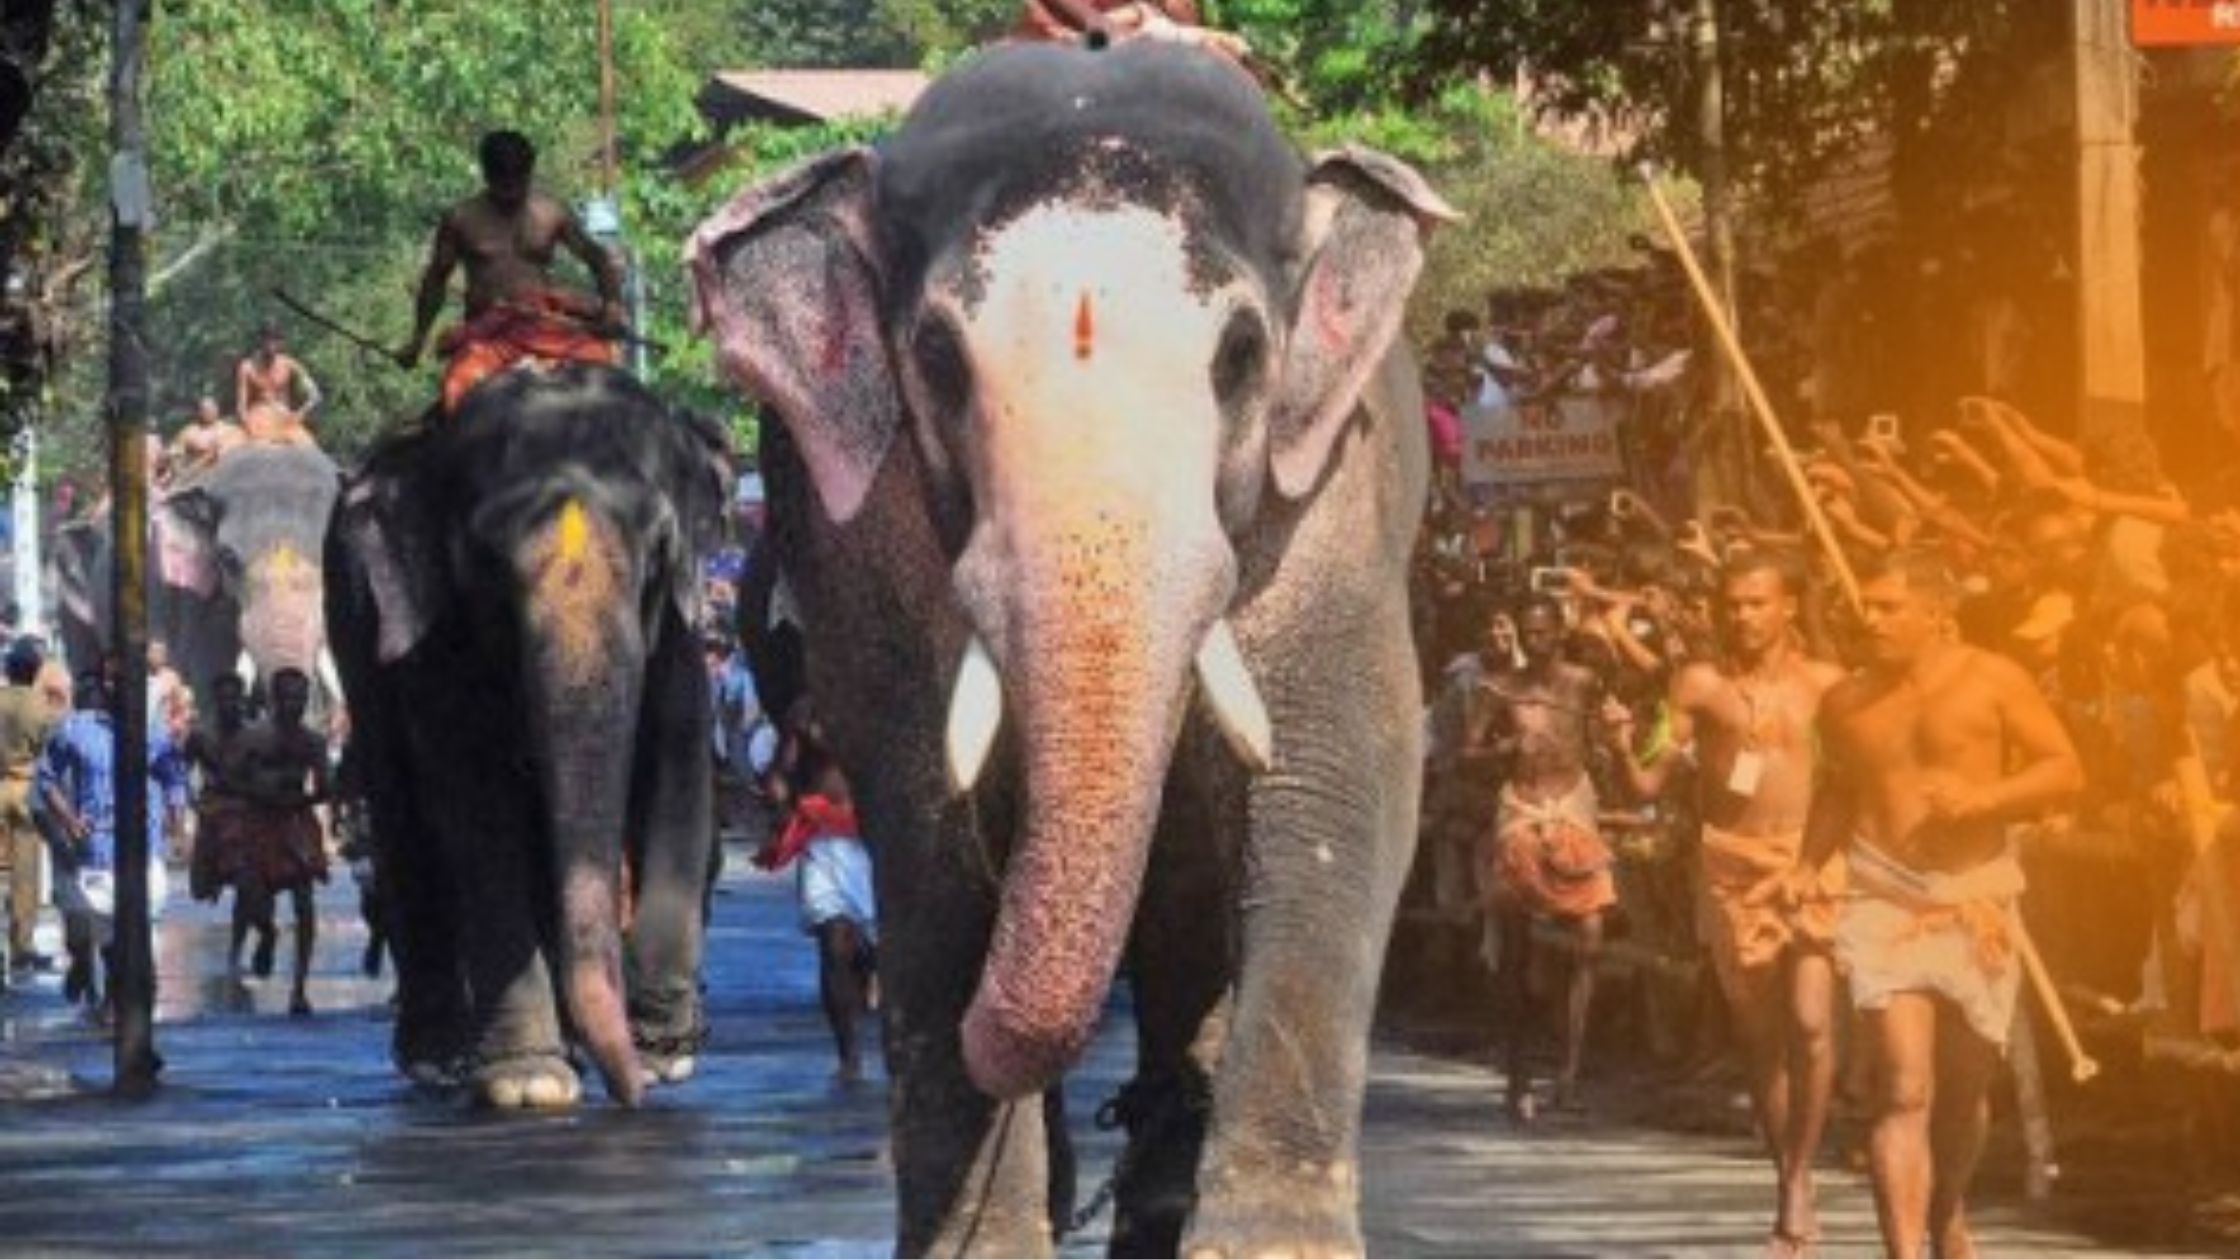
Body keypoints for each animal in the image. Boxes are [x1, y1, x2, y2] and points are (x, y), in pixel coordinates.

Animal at [323, 364, 732, 1108]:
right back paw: (442, 1062)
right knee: (401, 817)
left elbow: (679, 767)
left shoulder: (685, 632)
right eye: (485, 562)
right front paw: (529, 1082)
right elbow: (475, 800)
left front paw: (665, 1060)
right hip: (353, 633)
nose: (632, 1096)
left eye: (659, 550)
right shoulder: (433, 631)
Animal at [687, 40, 1451, 1256]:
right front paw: (981, 1236)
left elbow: (1339, 784)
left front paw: (1267, 1244)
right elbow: (926, 818)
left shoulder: (1339, 495)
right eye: (938, 360)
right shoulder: (862, 536)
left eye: (1242, 355)